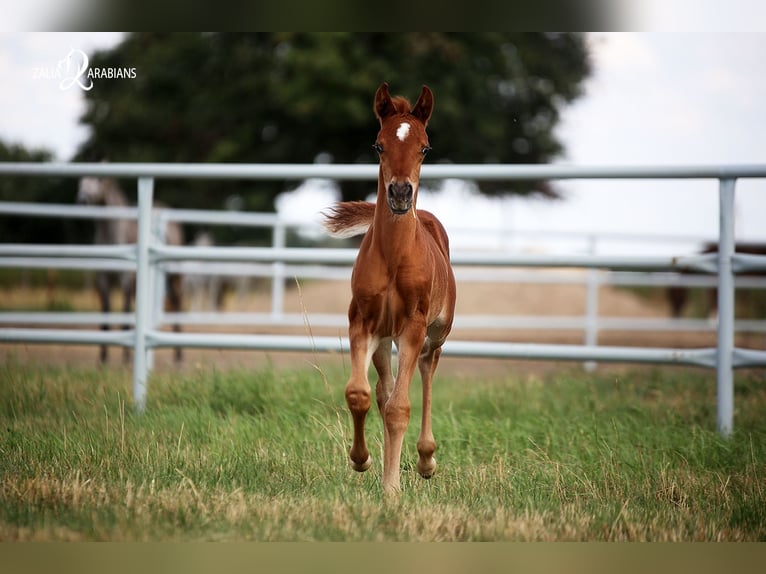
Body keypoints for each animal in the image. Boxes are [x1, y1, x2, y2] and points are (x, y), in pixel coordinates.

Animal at [77, 177, 186, 364]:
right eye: (81, 183)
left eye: (98, 182)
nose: (83, 199)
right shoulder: (102, 279)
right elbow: (105, 315)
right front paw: (103, 357)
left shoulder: (126, 278)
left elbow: (125, 314)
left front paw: (126, 358)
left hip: (173, 276)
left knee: (177, 302)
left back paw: (178, 355)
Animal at [324, 82, 456, 496]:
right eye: (378, 145)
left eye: (425, 147)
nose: (400, 194)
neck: (395, 256)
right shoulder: (362, 322)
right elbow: (360, 394)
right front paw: (362, 460)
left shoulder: (413, 326)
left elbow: (401, 407)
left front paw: (393, 490)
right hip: (384, 338)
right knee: (383, 391)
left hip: (435, 332)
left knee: (427, 370)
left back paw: (426, 460)